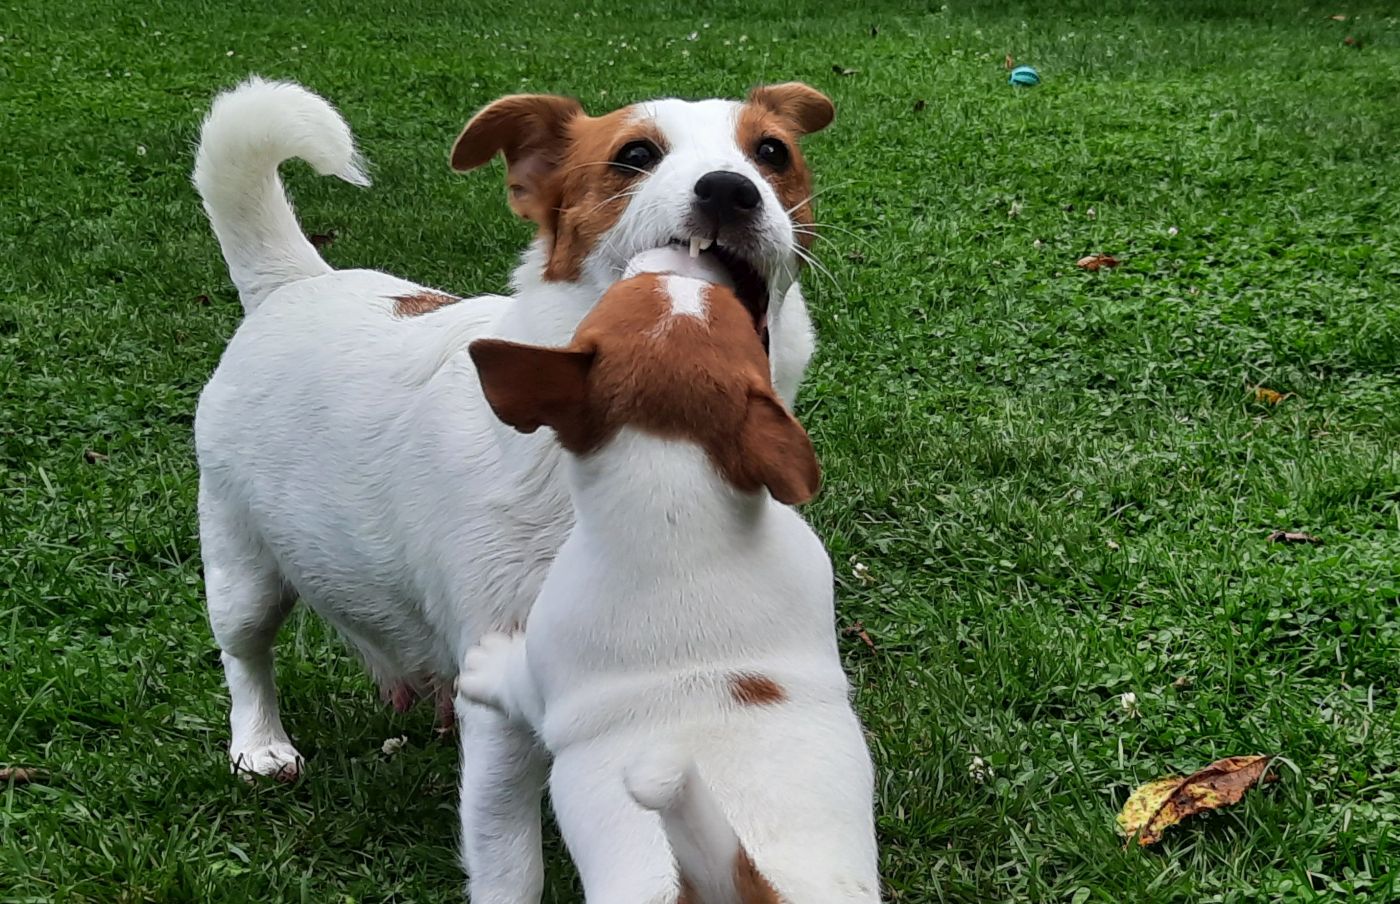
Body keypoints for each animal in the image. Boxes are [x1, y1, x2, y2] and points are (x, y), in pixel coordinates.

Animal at [194, 79, 828, 904]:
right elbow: (509, 860)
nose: (730, 189)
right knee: (246, 655)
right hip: (240, 564)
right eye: (635, 155)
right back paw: (261, 743)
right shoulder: (501, 710)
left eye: (772, 152)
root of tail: (295, 281)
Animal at [459, 254, 873, 904]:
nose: (699, 258)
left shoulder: (547, 677)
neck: (676, 493)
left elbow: (516, 682)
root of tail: (747, 886)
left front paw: (486, 665)